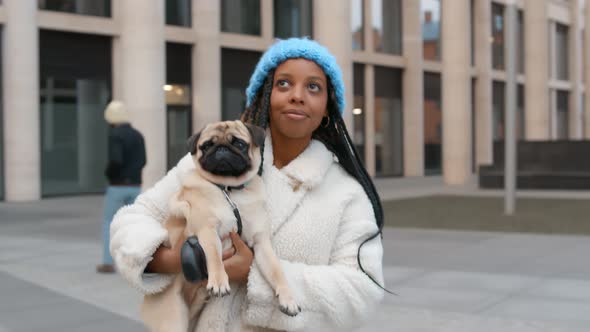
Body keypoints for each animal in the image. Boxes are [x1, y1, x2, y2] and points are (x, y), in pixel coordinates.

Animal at [141, 120, 300, 332]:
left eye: (239, 143)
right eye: (207, 145)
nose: (222, 149)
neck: (230, 190)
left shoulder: (261, 242)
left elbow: (276, 271)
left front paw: (288, 298)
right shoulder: (208, 231)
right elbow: (215, 257)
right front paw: (218, 281)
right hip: (172, 317)